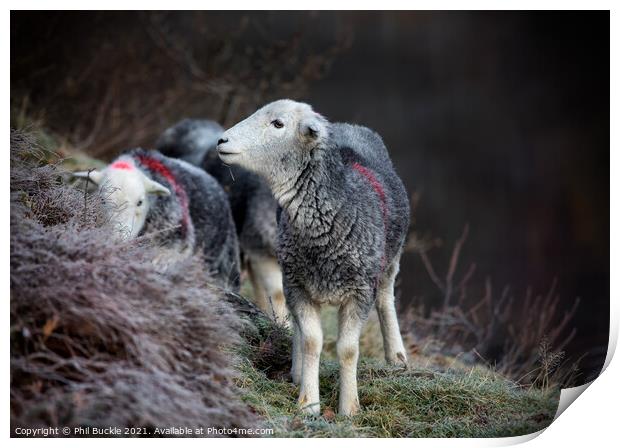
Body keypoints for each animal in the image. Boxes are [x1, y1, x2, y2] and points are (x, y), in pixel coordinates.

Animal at [218, 100, 412, 414]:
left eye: (278, 124)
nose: (221, 141)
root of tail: (347, 125)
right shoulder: (299, 286)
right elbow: (311, 341)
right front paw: (308, 403)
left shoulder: (359, 292)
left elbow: (348, 349)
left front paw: (349, 408)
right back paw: (297, 372)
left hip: (388, 263)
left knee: (385, 300)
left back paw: (397, 357)